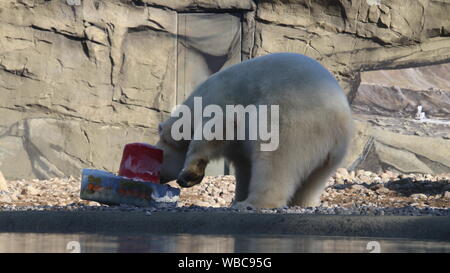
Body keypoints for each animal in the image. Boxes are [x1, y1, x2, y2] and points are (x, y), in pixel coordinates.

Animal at [156, 51, 354, 208]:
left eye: (160, 156)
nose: (158, 177)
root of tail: (338, 122)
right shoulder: (239, 148)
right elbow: (244, 167)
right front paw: (237, 196)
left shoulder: (224, 105)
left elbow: (216, 132)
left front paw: (189, 175)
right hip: (331, 156)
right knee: (313, 181)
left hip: (293, 123)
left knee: (275, 162)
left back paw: (253, 203)